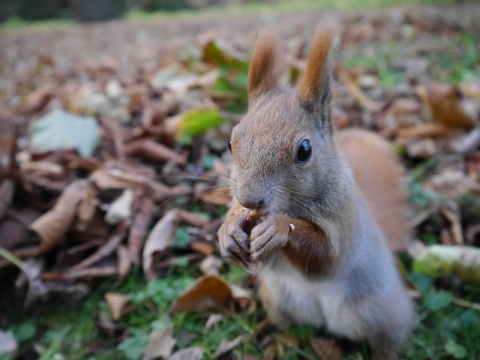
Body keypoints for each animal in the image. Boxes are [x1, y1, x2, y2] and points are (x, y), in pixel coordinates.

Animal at [217, 23, 412, 358]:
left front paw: (279, 229)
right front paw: (229, 230)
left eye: (305, 150)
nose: (249, 199)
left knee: (387, 341)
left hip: (377, 313)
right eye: (231, 142)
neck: (290, 206)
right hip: (279, 300)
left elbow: (326, 257)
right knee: (292, 327)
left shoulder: (343, 221)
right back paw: (282, 342)